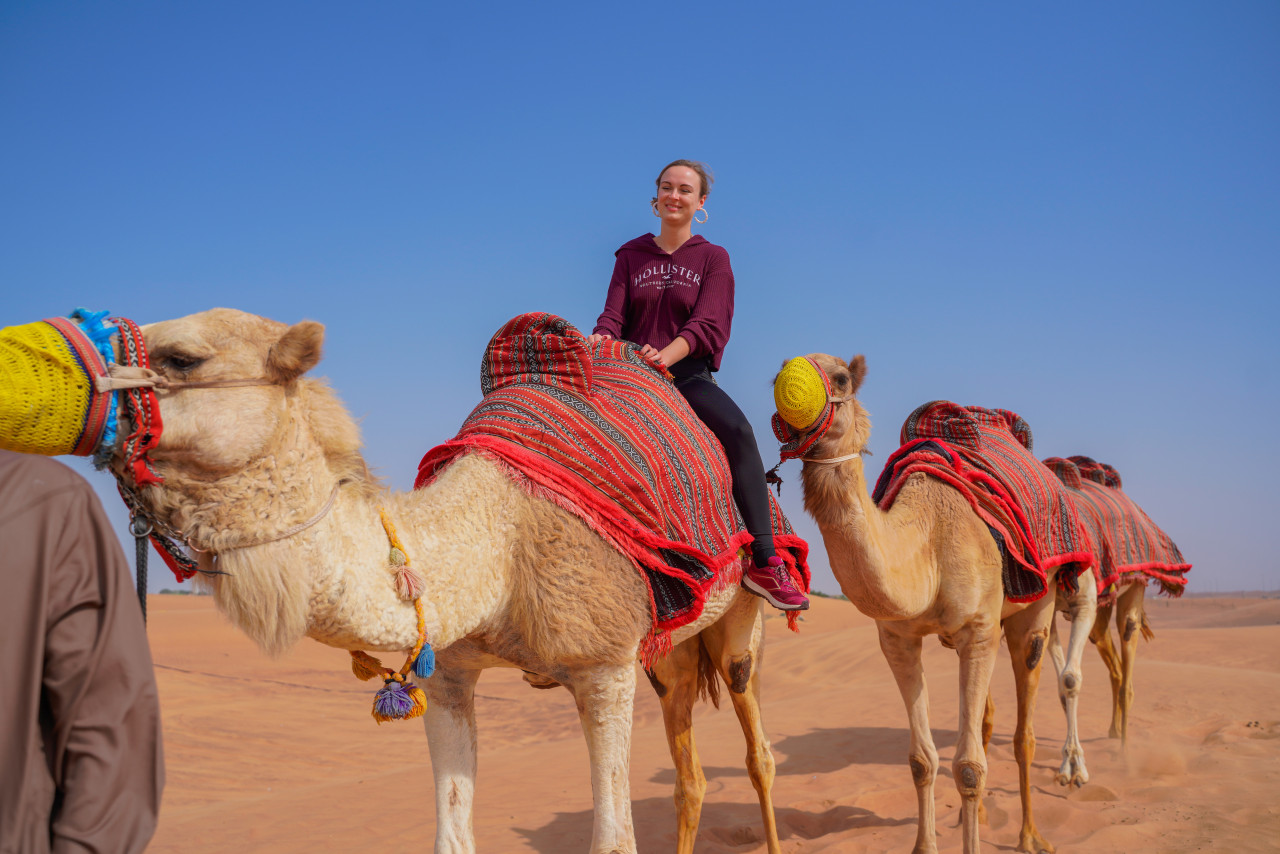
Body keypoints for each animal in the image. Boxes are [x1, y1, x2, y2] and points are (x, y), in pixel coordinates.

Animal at [115, 308, 783, 854]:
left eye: (182, 357)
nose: (86, 374)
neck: (499, 546)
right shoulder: (451, 672)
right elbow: (452, 834)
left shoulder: (604, 666)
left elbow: (614, 842)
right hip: (667, 653)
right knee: (689, 773)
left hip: (736, 622)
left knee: (757, 747)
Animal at [778, 353, 1059, 854]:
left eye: (841, 378)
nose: (790, 391)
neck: (927, 542)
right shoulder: (897, 637)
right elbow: (922, 760)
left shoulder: (977, 630)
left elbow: (968, 766)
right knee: (985, 725)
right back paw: (980, 818)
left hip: (1036, 606)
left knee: (1023, 728)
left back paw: (1029, 835)